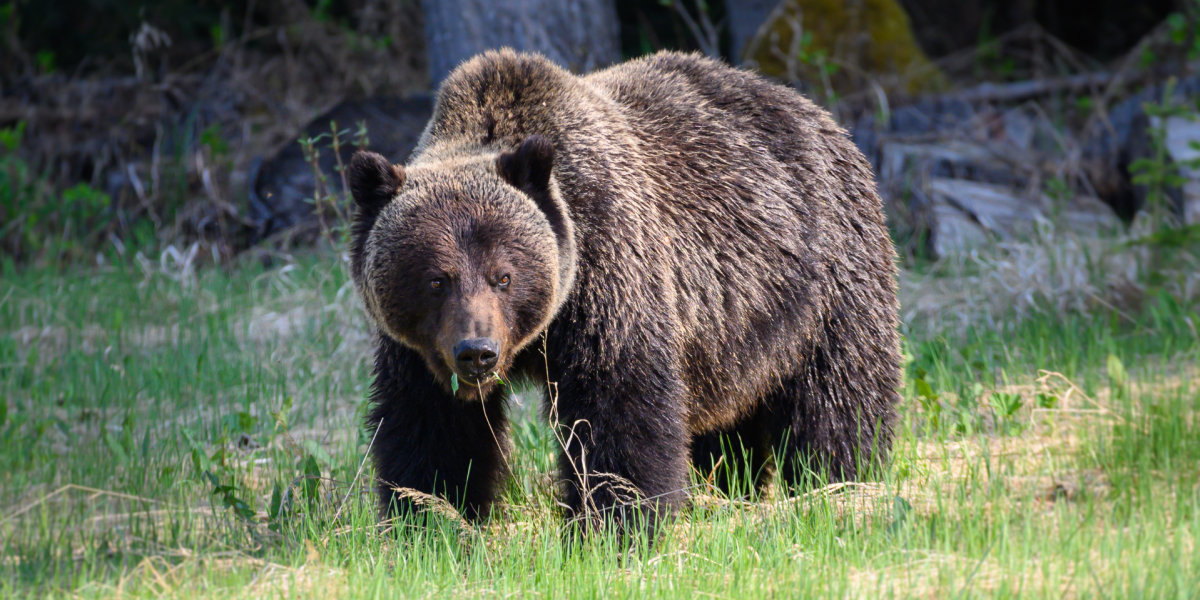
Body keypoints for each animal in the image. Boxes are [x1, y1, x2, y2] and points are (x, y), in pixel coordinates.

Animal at [348, 49, 902, 532]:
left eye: (503, 275)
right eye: (436, 279)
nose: (477, 352)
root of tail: (818, 114)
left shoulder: (611, 276)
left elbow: (619, 410)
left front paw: (613, 526)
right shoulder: (418, 350)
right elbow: (432, 429)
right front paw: (431, 522)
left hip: (824, 281)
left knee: (838, 397)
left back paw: (839, 488)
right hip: (734, 337)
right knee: (728, 425)